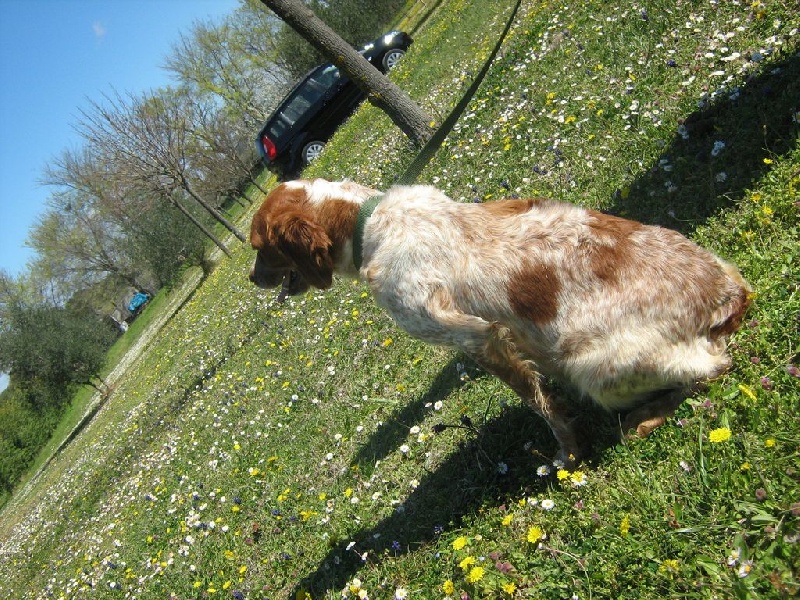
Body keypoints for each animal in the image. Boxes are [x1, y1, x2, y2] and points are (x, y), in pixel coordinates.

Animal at [249, 179, 751, 464]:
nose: (252, 278)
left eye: (259, 247)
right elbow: (545, 383)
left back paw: (643, 419)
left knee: (714, 368)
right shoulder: (518, 339)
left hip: (593, 364)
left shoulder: (474, 335)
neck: (366, 222)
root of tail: (727, 296)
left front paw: (569, 451)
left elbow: (541, 405)